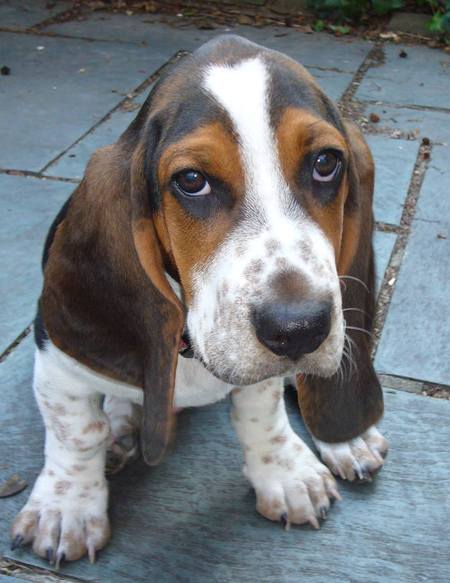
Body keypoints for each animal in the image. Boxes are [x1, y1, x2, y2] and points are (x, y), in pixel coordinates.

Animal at [12, 35, 388, 564]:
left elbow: (261, 409)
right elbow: (76, 432)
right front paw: (66, 509)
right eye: (192, 181)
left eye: (325, 163)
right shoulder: (58, 359)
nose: (299, 330)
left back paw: (347, 438)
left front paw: (284, 472)